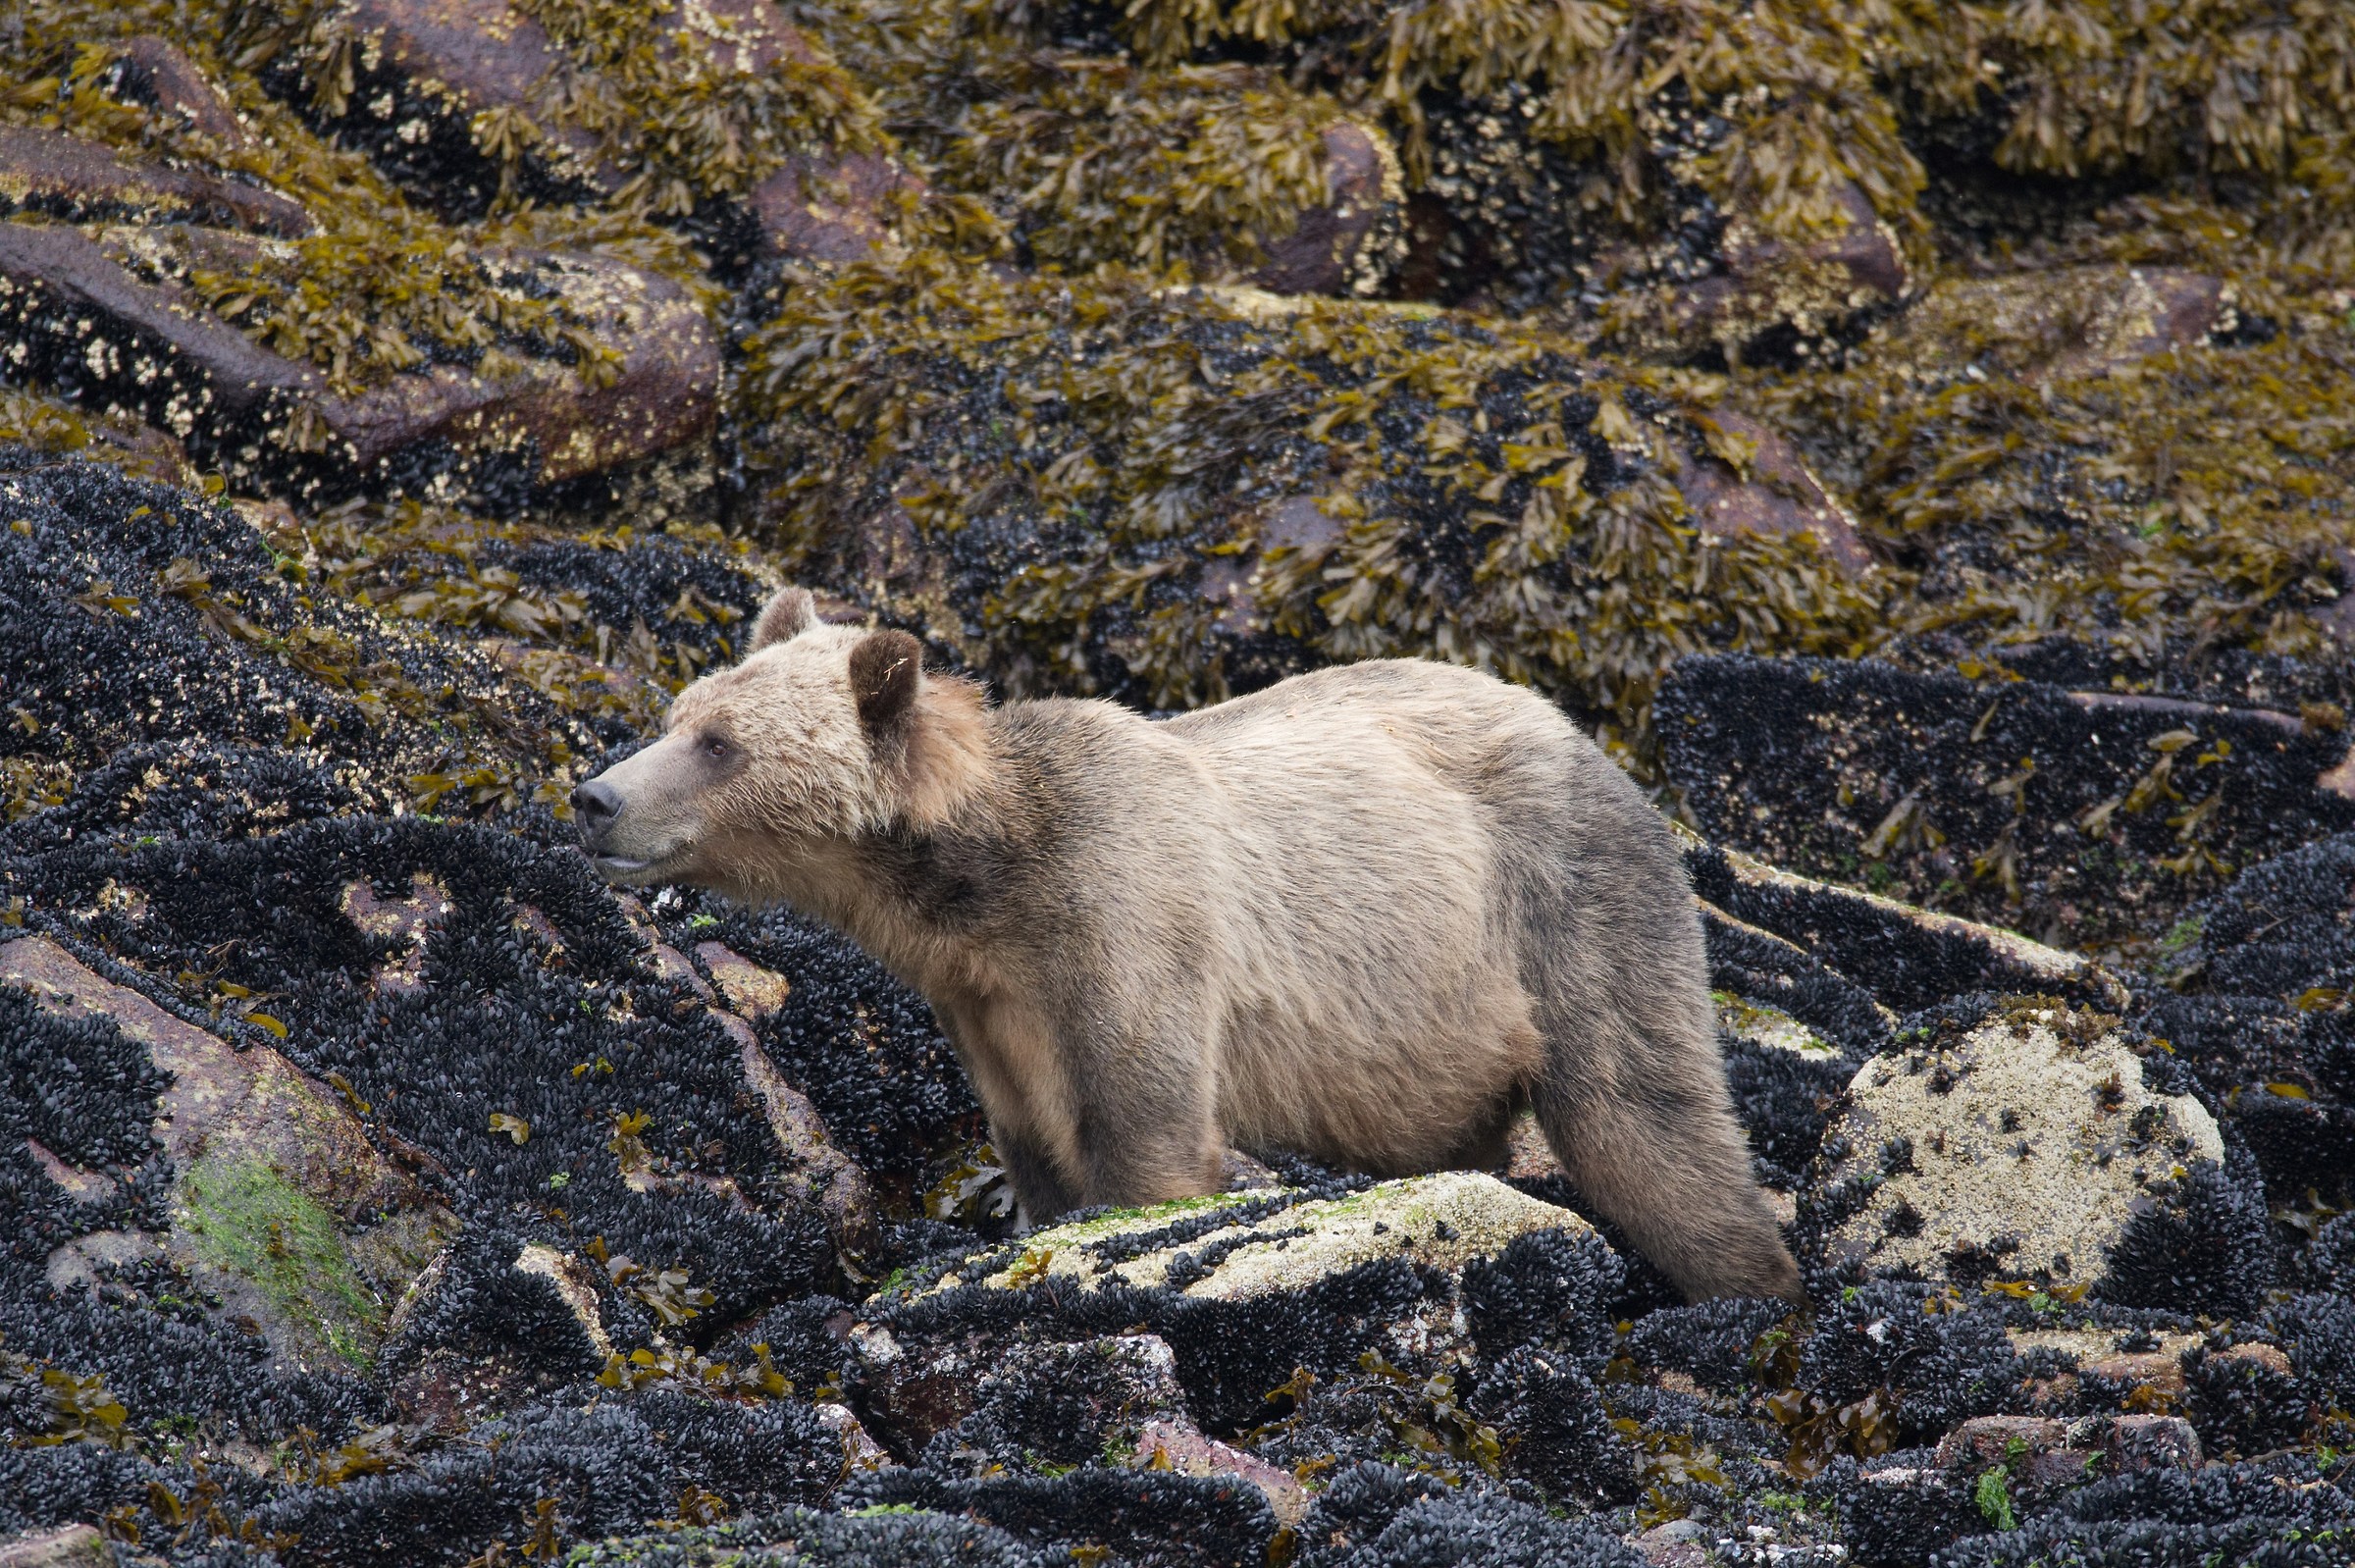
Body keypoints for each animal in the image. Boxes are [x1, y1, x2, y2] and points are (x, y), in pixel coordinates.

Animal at [572, 587, 1804, 1304]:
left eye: (722, 742)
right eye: (682, 710)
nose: (595, 795)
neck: (982, 889)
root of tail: (1580, 732)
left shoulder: (1130, 916)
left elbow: (1149, 1131)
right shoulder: (986, 1002)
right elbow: (1036, 1140)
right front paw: (1024, 1210)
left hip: (1565, 907)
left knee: (1645, 1118)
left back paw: (1751, 1284)